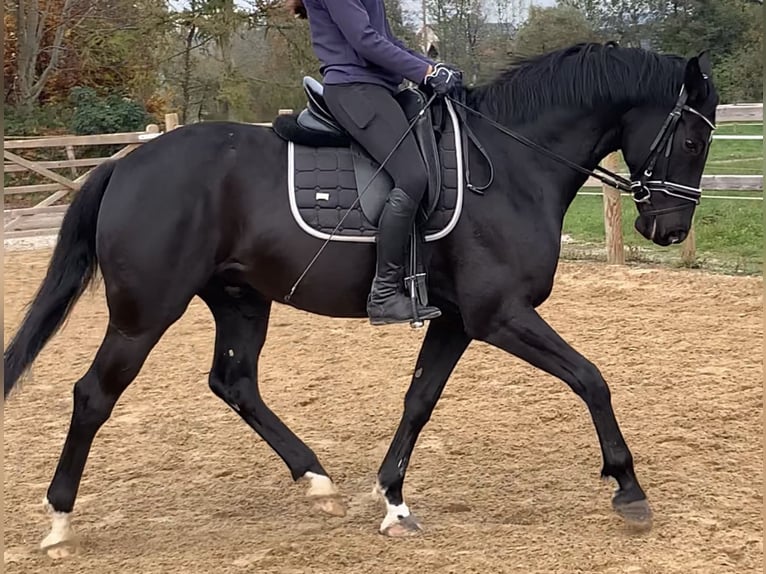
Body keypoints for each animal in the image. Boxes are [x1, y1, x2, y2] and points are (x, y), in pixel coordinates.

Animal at [3, 42, 720, 556]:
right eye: (692, 140)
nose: (669, 230)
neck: (514, 168)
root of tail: (123, 164)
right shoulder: (501, 315)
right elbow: (591, 378)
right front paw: (628, 488)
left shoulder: (456, 321)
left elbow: (419, 400)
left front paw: (392, 499)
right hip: (144, 313)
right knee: (94, 395)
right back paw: (59, 520)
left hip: (240, 299)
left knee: (234, 382)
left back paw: (315, 479)